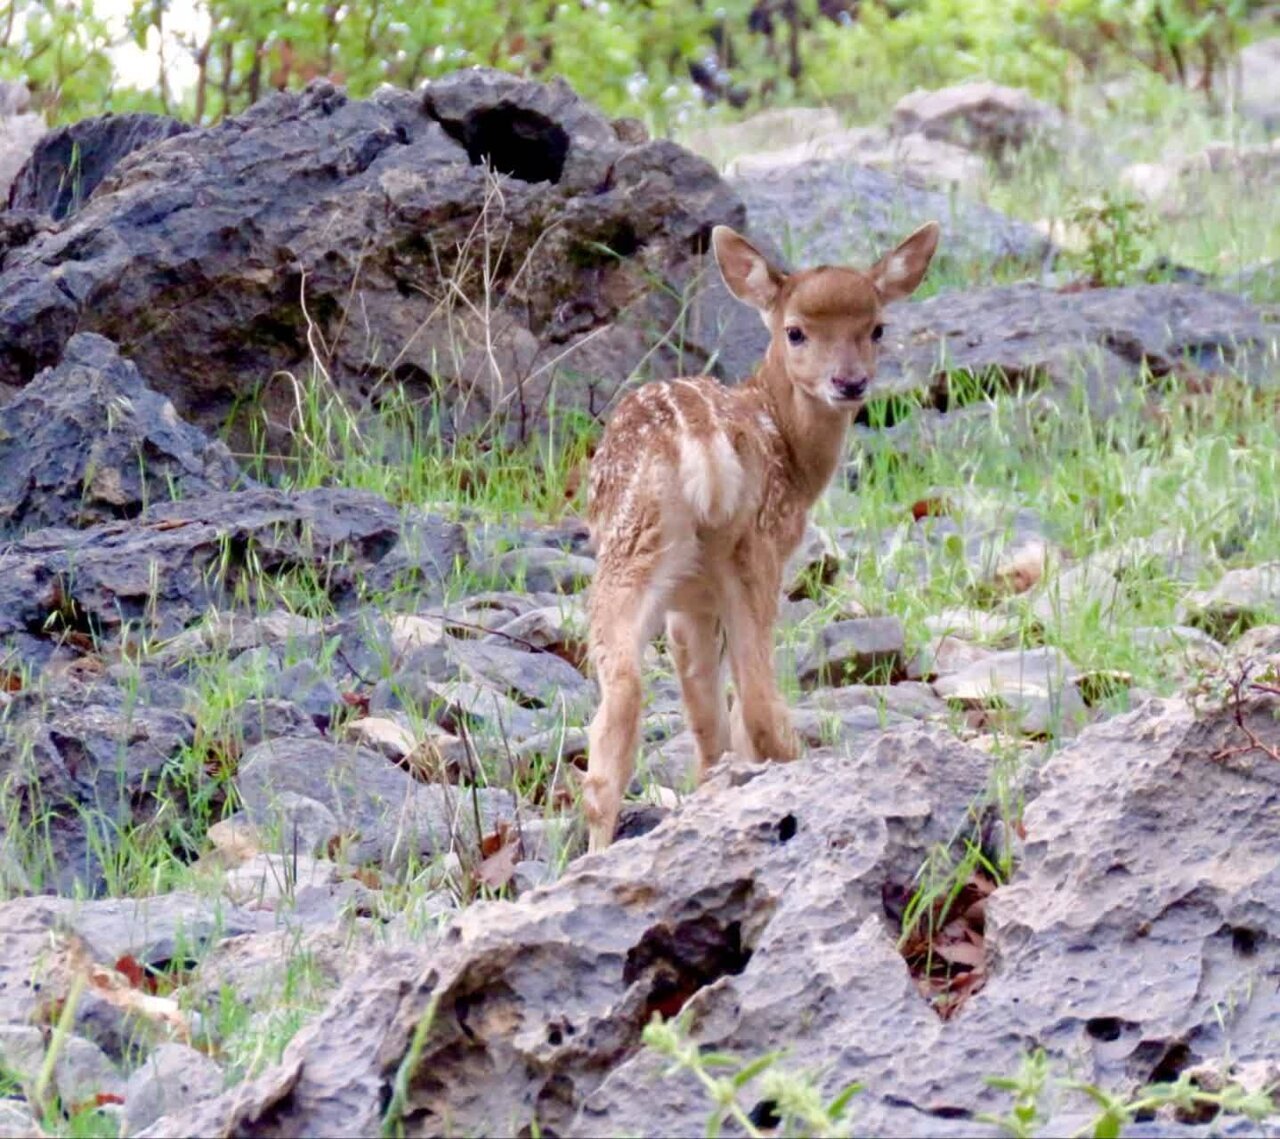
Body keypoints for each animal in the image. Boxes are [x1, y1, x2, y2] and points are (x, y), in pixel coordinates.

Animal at [582, 219, 940, 851]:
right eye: (795, 331)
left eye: (877, 328)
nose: (850, 382)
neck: (794, 454)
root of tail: (703, 444)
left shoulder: (687, 601)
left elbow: (702, 711)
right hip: (752, 550)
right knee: (758, 700)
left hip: (640, 551)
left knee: (621, 702)